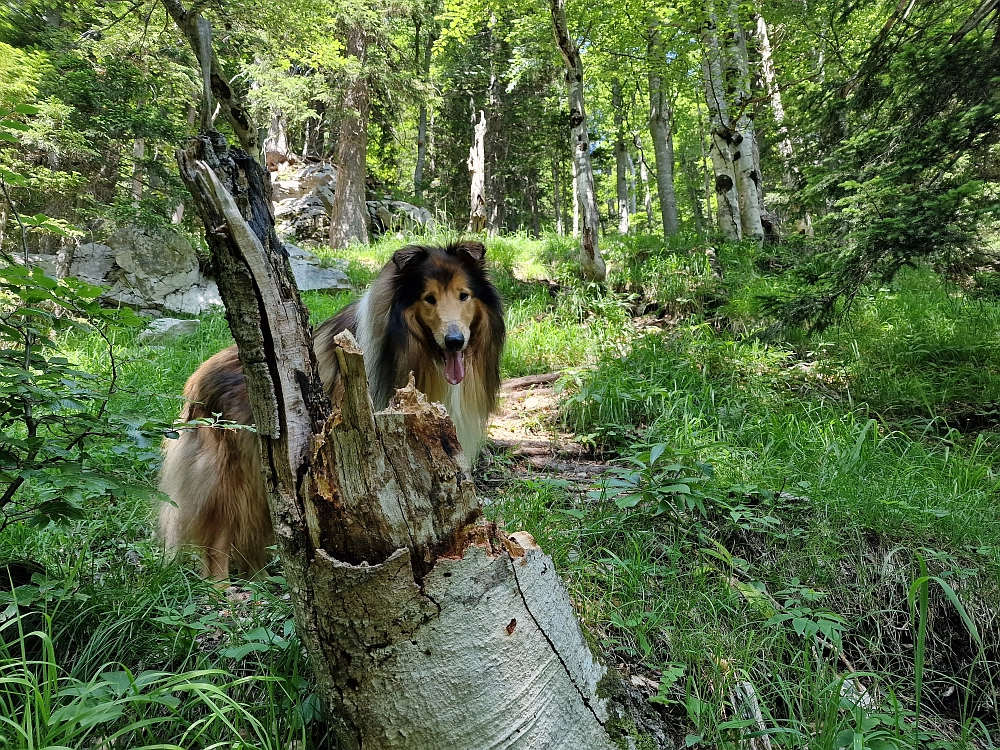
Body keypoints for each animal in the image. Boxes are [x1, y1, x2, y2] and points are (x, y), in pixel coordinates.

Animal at [159, 244, 504, 580]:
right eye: (429, 298)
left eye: (463, 295)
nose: (455, 341)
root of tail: (194, 381)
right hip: (230, 478)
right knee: (216, 540)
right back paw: (222, 589)